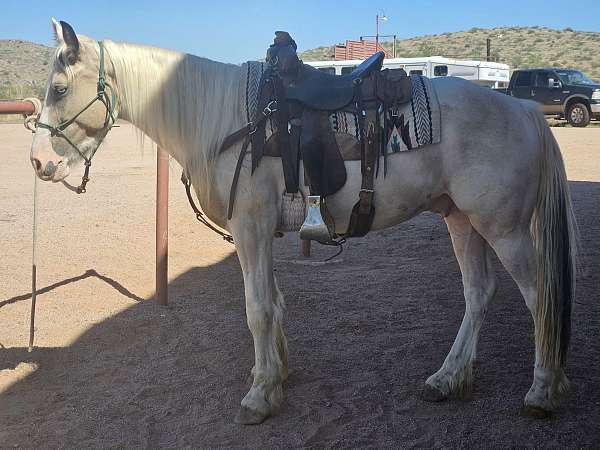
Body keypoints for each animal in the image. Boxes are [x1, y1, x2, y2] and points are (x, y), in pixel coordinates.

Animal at [31, 20, 576, 422]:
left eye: (59, 87)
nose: (39, 162)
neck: (231, 119)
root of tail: (523, 109)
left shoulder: (250, 227)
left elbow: (256, 308)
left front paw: (259, 396)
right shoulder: (256, 232)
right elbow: (273, 301)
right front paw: (275, 375)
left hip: (503, 229)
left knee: (540, 296)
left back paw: (543, 391)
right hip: (461, 218)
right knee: (478, 293)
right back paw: (448, 378)